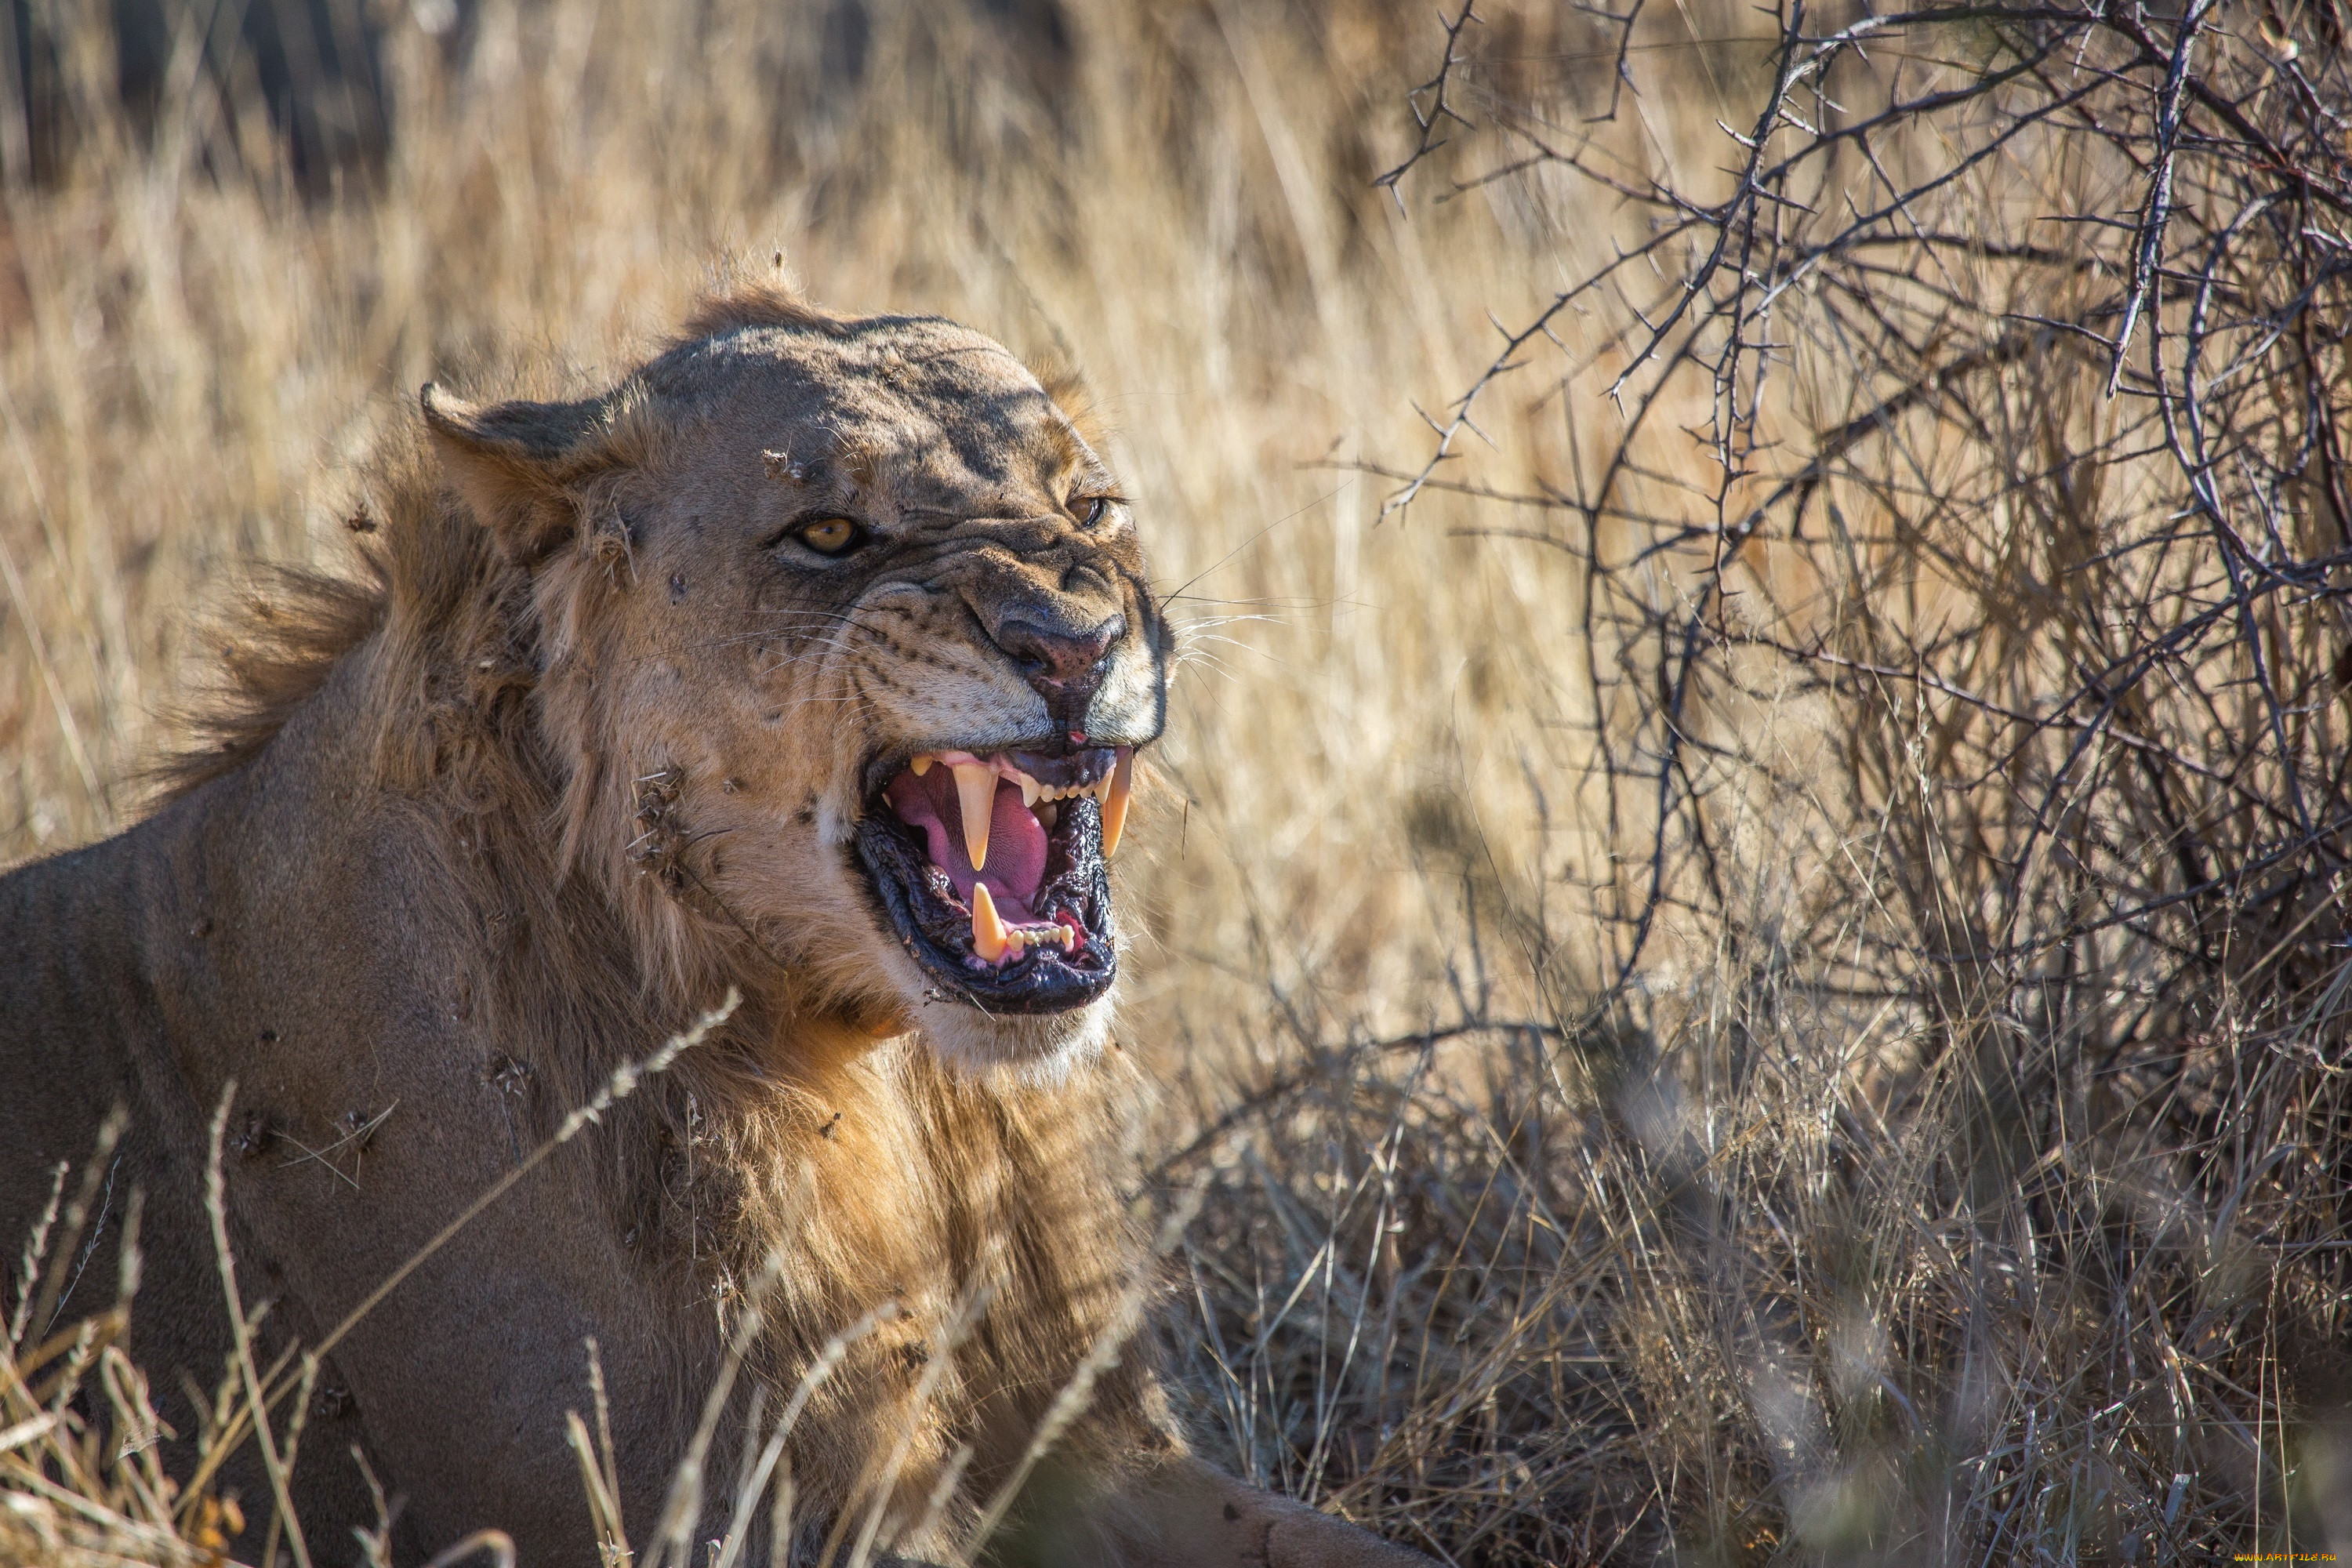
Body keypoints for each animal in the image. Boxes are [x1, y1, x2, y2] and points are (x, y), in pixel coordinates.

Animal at [0, 288, 1421, 1561]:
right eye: (830, 532)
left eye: (1089, 509)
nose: (1073, 643)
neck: (895, 1088)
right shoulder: (748, 1514)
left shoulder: (1094, 1453)